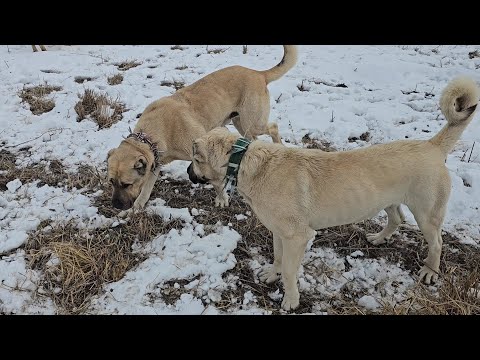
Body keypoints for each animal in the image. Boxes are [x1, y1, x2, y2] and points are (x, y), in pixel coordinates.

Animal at [107, 46, 298, 212]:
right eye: (111, 182)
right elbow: (146, 187)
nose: (116, 206)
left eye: (126, 184)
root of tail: (258, 73)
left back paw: (278, 145)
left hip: (253, 122)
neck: (153, 133)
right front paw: (138, 205)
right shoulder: (155, 162)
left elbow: (215, 182)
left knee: (273, 127)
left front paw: (222, 198)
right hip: (241, 124)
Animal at [188, 77, 480, 310]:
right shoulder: (279, 233)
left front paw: (290, 300)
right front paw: (272, 274)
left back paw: (430, 271)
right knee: (396, 218)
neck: (246, 162)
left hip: (427, 213)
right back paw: (379, 238)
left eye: (195, 158)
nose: (189, 173)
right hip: (388, 200)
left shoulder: (298, 236)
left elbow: (289, 272)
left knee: (437, 242)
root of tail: (432, 146)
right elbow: (278, 258)